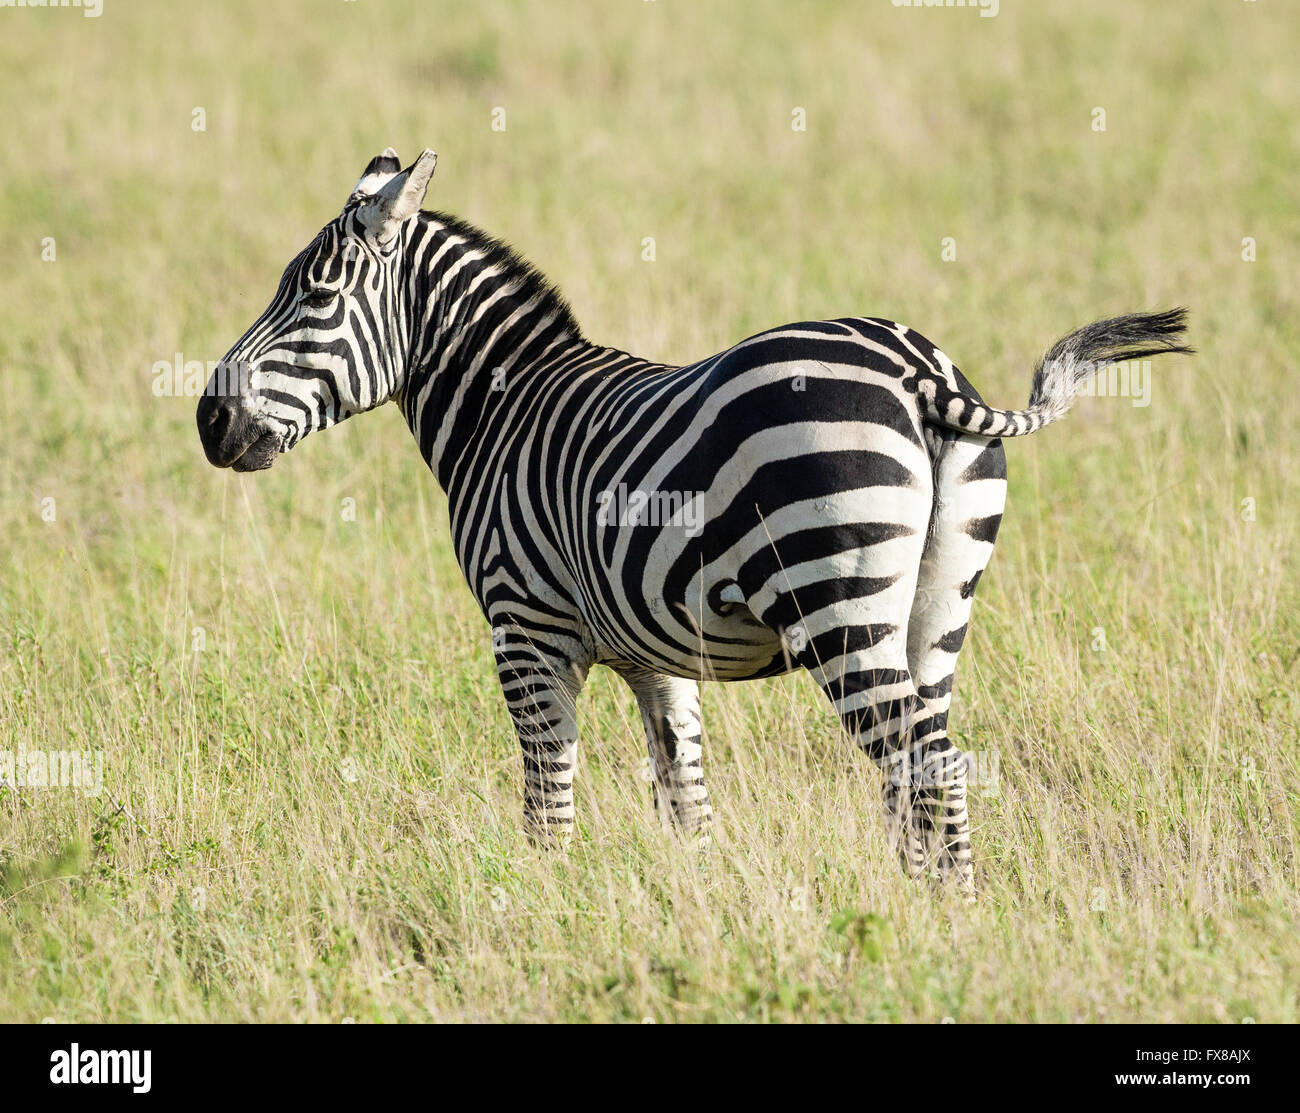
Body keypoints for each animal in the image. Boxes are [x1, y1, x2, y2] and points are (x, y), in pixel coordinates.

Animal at [197, 148, 1192, 894]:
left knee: (923, 764)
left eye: (315, 299)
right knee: (929, 762)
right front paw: (699, 905)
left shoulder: (526, 632)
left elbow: (548, 801)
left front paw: (541, 908)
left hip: (840, 604)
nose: (209, 419)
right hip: (938, 609)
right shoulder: (655, 654)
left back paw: (943, 923)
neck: (502, 408)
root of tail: (921, 369)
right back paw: (937, 909)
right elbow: (687, 799)